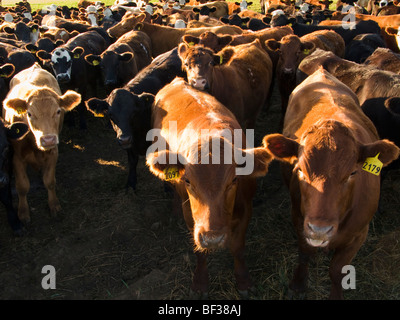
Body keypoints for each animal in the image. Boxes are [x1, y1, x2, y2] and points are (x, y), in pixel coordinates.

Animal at [1, 62, 81, 222]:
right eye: (29, 114)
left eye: (58, 111)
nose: (48, 139)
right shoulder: (16, 157)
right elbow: (22, 186)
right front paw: (23, 212)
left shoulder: (53, 152)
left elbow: (49, 181)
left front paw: (54, 205)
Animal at [86, 47, 186, 191]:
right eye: (110, 114)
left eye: (133, 112)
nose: (124, 139)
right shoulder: (129, 143)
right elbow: (132, 161)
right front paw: (131, 183)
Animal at [145, 77, 274, 298]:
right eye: (187, 181)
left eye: (234, 180)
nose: (213, 238)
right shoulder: (192, 216)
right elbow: (199, 252)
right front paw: (200, 282)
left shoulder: (246, 209)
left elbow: (238, 248)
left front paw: (243, 281)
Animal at [264, 68, 398, 300]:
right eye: (300, 169)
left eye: (353, 172)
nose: (320, 229)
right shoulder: (299, 221)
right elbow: (305, 253)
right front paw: (298, 283)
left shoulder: (359, 235)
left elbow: (337, 270)